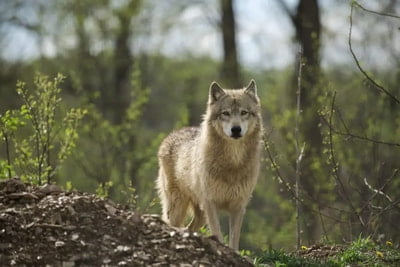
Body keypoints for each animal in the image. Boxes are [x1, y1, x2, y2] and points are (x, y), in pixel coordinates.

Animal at [156, 80, 262, 251]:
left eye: (244, 112)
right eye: (225, 113)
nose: (236, 129)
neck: (232, 163)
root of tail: (171, 134)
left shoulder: (238, 207)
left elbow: (234, 241)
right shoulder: (211, 204)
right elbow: (218, 234)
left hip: (200, 214)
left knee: (189, 228)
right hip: (178, 208)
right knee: (172, 224)